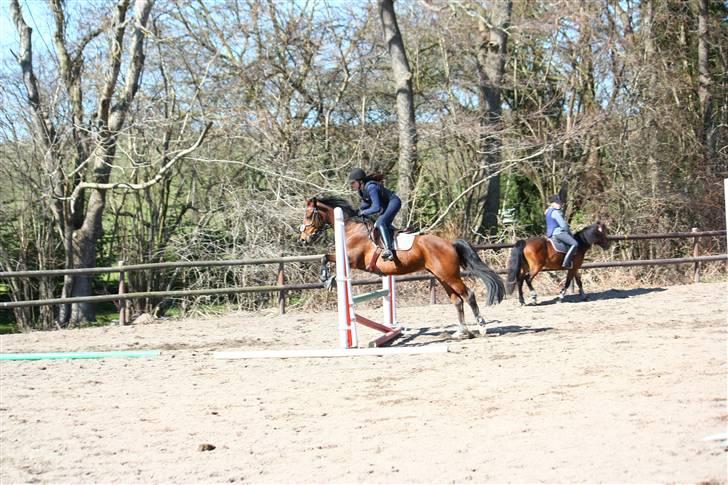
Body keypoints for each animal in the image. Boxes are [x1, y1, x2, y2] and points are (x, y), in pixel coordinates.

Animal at [298, 197, 504, 336]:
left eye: (309, 215)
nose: (303, 239)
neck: (349, 228)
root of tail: (450, 243)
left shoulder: (353, 260)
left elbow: (327, 258)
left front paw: (327, 278)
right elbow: (325, 257)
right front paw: (327, 278)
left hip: (449, 276)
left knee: (468, 295)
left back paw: (482, 327)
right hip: (441, 276)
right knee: (457, 300)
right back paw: (461, 331)